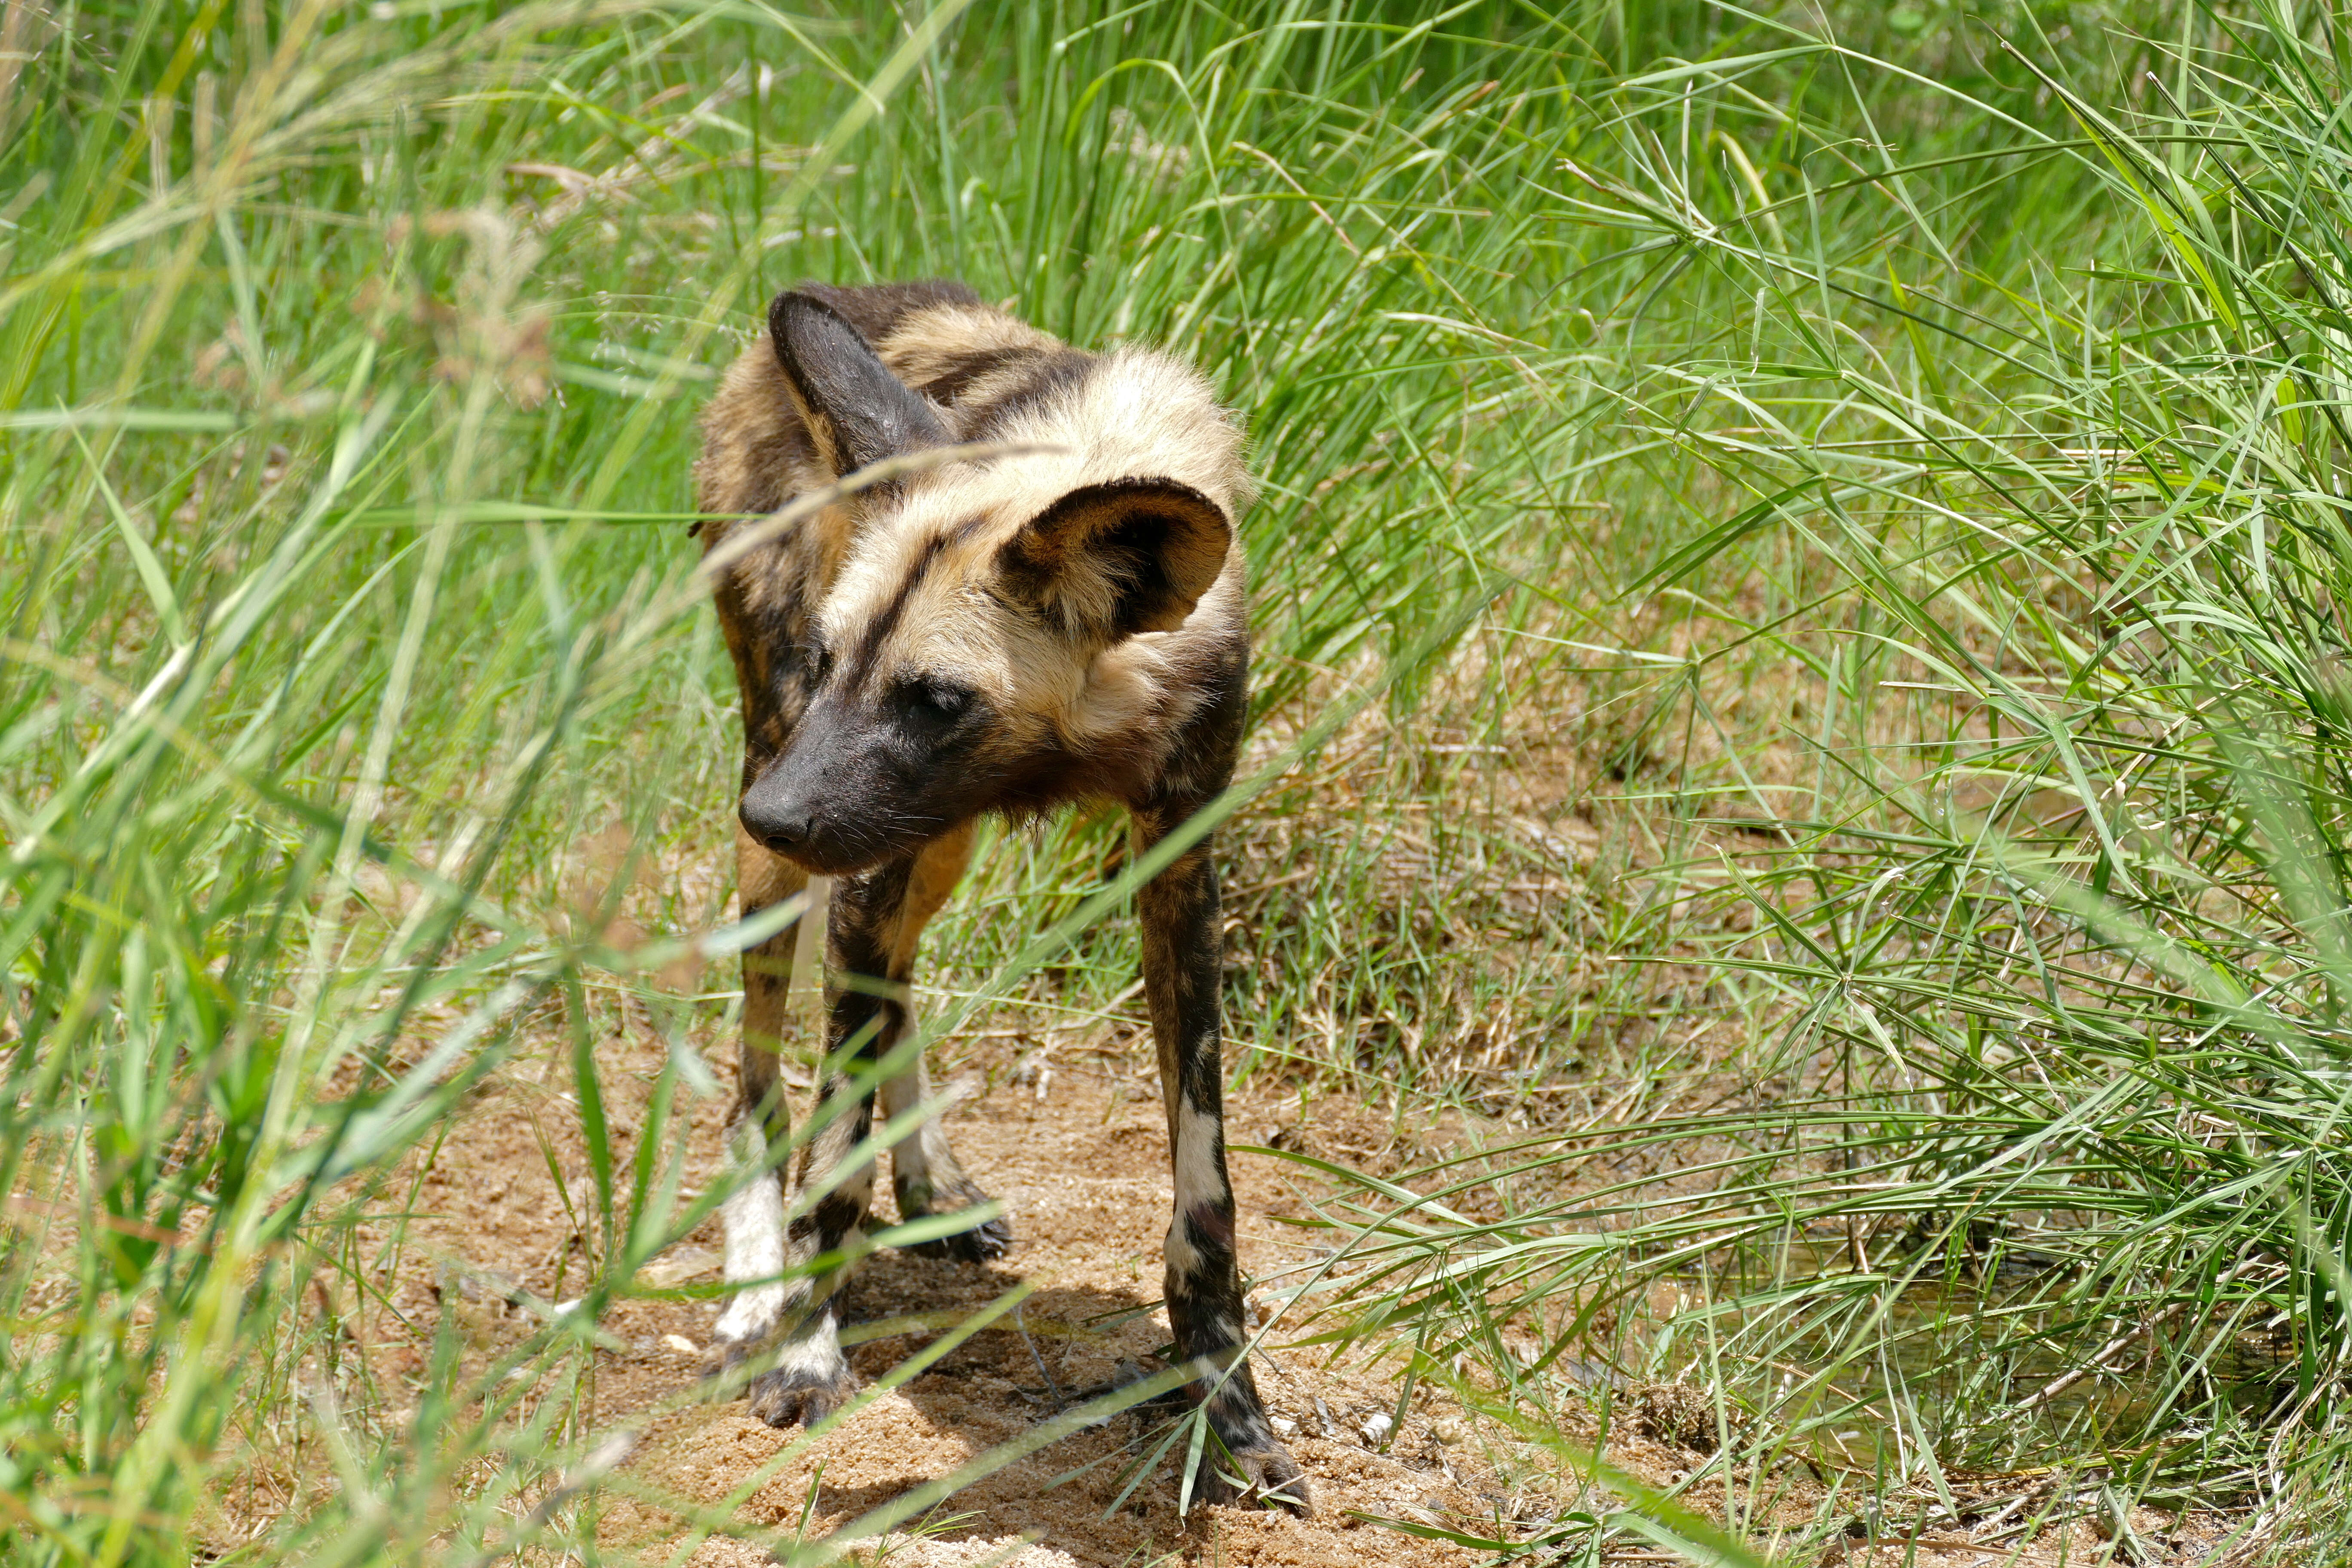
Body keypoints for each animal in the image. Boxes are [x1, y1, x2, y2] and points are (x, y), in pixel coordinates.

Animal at [686, 279, 1308, 1504]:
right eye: (830, 663)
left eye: (935, 700)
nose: (773, 814)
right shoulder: (848, 853)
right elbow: (830, 1169)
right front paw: (806, 1358)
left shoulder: (1180, 877)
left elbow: (1204, 1198)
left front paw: (1230, 1413)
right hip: (799, 837)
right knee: (760, 1092)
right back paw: (755, 1294)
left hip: (915, 843)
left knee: (892, 990)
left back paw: (930, 1183)